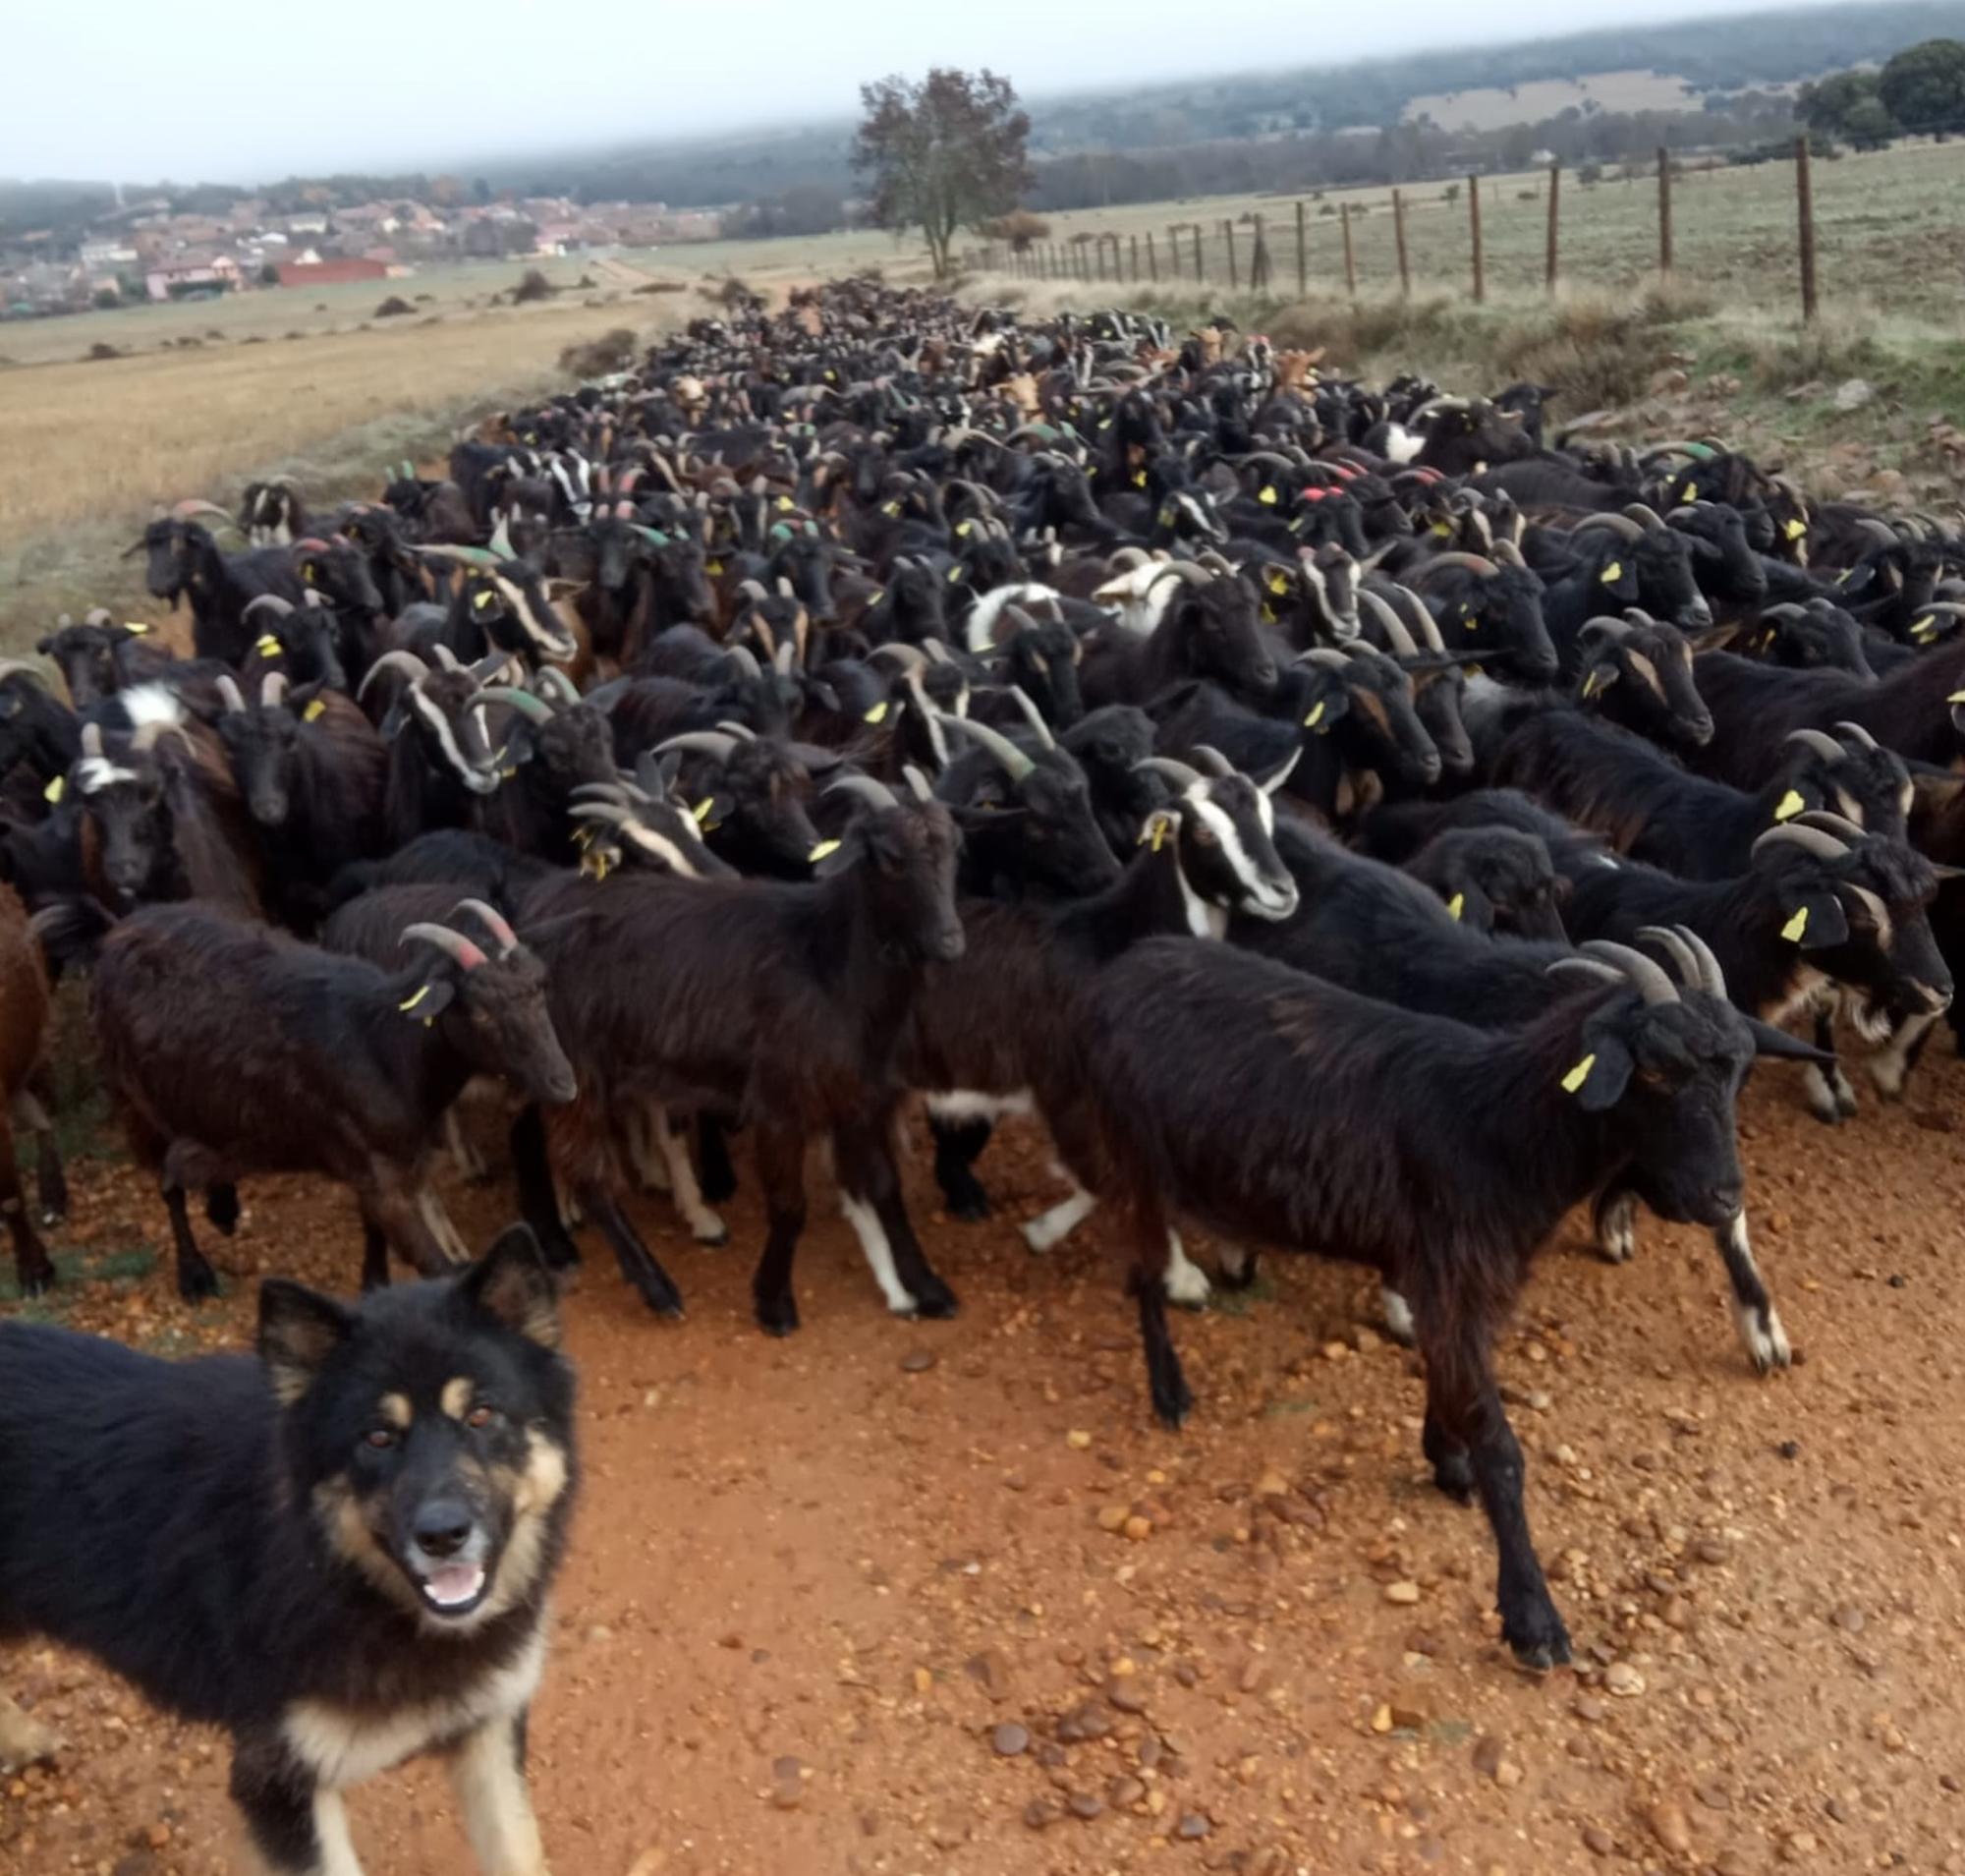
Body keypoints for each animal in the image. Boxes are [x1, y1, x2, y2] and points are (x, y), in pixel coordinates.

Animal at [0, 1219, 574, 1863]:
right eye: (378, 1438)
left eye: (481, 1415)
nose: (443, 1536)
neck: (336, 1575)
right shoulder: (279, 1783)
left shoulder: (489, 1732)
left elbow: (518, 1849)